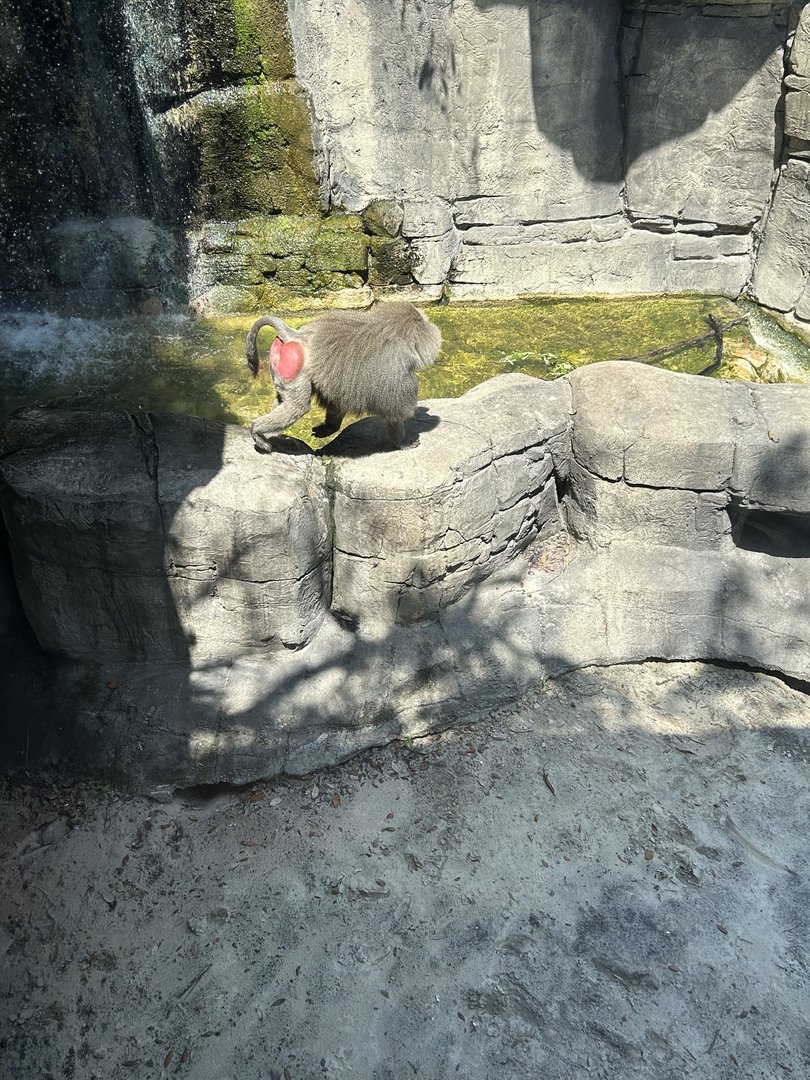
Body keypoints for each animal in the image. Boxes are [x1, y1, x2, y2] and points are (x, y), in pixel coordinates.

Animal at [245, 301, 441, 451]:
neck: (392, 331)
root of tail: (296, 335)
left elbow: (337, 402)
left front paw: (329, 428)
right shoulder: (396, 374)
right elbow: (395, 414)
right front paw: (402, 442)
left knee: (284, 401)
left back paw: (272, 435)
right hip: (296, 368)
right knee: (296, 407)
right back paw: (257, 430)